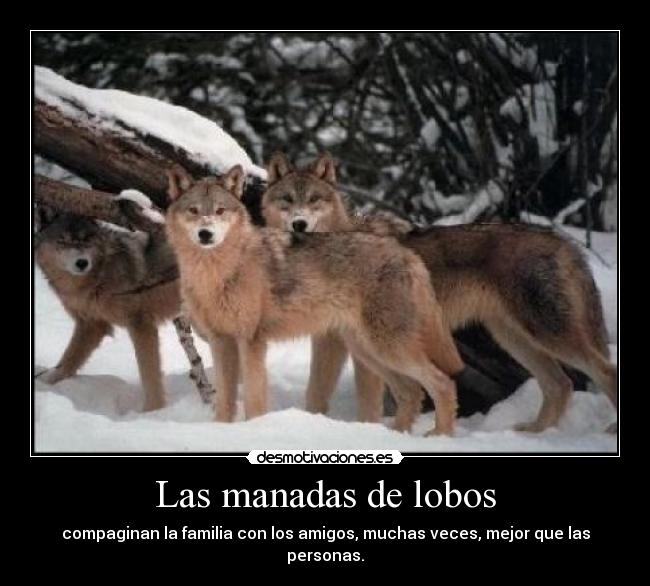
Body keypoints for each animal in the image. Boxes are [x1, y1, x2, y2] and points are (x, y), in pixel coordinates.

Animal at [35, 213, 180, 410]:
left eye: (87, 239)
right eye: (62, 241)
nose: (82, 263)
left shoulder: (141, 325)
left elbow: (149, 374)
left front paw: (153, 410)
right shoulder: (91, 325)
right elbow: (67, 360)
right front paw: (45, 384)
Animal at [165, 164, 465, 435]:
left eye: (219, 211)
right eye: (194, 211)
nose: (206, 234)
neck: (219, 272)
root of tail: (407, 253)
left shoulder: (251, 342)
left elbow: (252, 398)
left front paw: (253, 430)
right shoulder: (221, 342)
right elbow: (225, 403)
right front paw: (221, 431)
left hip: (387, 348)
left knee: (443, 383)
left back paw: (440, 435)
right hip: (368, 350)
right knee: (411, 391)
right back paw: (395, 435)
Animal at [261, 152, 618, 433]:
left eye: (314, 200)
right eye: (287, 200)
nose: (299, 224)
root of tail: (562, 241)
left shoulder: (358, 353)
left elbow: (369, 403)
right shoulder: (331, 341)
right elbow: (315, 394)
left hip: (548, 336)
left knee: (603, 372)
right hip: (514, 339)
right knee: (560, 385)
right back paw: (534, 432)